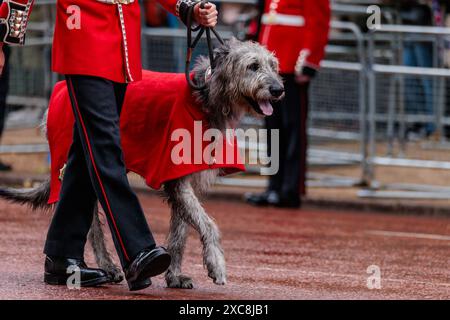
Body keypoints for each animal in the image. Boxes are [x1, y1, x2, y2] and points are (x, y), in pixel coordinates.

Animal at [0, 38, 284, 290]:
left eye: (273, 65)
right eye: (253, 66)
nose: (278, 89)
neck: (205, 97)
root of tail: (57, 91)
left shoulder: (183, 176)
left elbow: (180, 231)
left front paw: (174, 276)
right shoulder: (175, 173)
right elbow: (208, 224)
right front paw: (216, 264)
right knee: (92, 222)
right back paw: (103, 267)